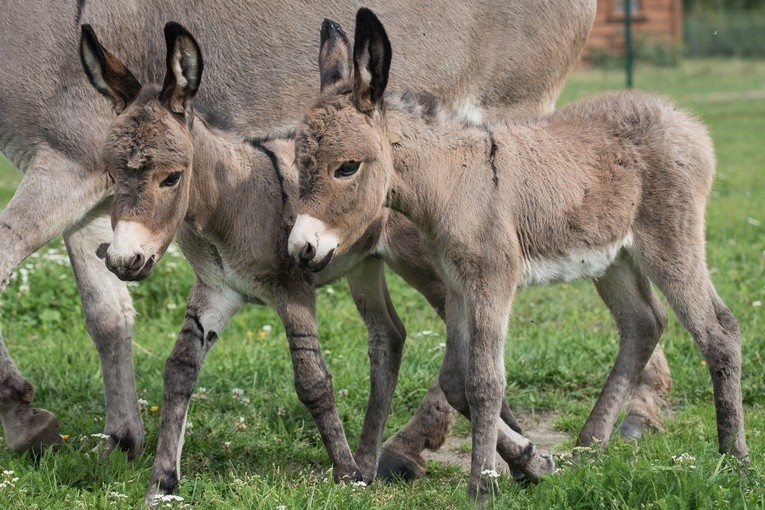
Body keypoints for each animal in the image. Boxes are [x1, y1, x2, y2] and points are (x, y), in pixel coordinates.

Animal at [290, 8, 748, 502]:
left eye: (347, 168)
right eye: (299, 164)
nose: (301, 249)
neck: (452, 181)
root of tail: (684, 120)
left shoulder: (493, 280)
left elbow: (485, 382)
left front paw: (482, 488)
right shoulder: (457, 285)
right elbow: (455, 383)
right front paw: (532, 462)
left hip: (669, 241)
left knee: (718, 330)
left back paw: (735, 460)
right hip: (615, 258)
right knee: (644, 322)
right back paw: (589, 446)